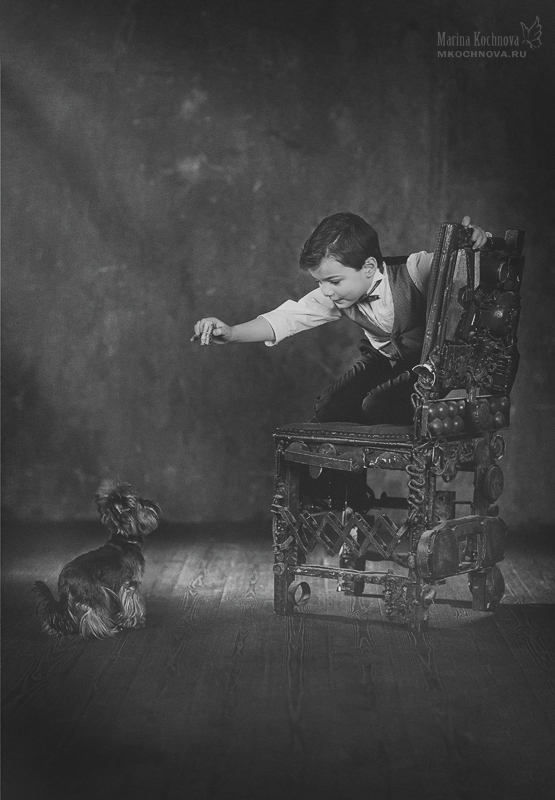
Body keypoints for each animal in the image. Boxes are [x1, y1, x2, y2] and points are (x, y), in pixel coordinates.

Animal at [34, 480, 161, 638]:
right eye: (141, 505)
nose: (152, 503)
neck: (124, 539)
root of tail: (64, 580)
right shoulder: (130, 584)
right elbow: (133, 605)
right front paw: (135, 622)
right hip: (96, 593)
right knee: (93, 614)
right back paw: (106, 630)